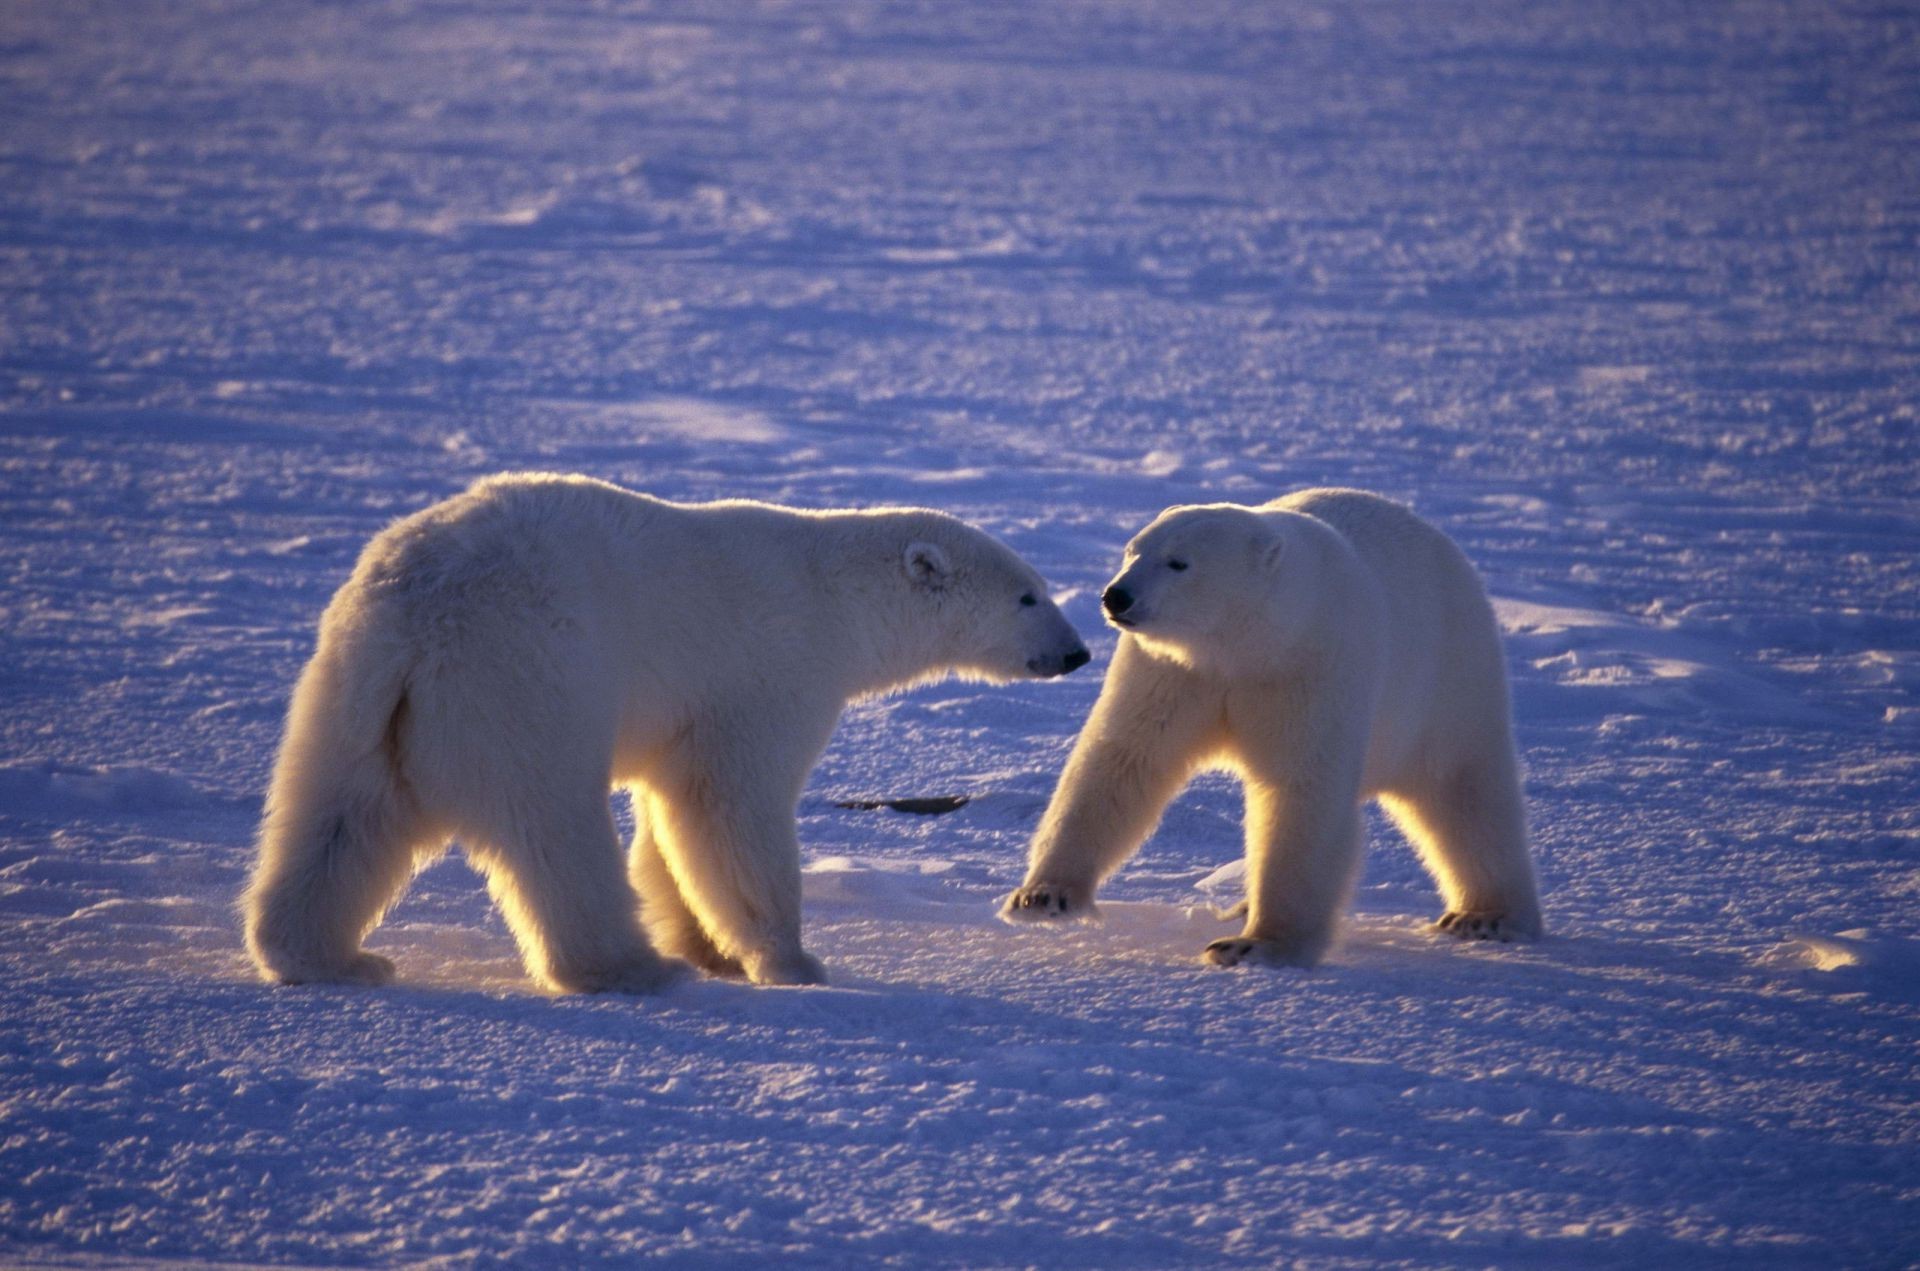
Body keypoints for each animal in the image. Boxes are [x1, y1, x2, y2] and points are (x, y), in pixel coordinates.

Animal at [241, 476, 1090, 998]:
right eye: (1028, 595)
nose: (1077, 652)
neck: (835, 595)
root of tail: (414, 609)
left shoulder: (687, 712)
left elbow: (670, 817)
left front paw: (708, 947)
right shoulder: (766, 673)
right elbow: (728, 808)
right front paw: (792, 960)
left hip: (361, 693)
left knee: (341, 816)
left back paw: (328, 954)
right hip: (524, 673)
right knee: (555, 825)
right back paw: (627, 966)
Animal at [998, 487, 1536, 967]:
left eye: (1179, 563)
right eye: (1133, 549)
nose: (1116, 596)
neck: (1249, 642)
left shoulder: (1311, 668)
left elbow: (1300, 790)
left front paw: (1254, 946)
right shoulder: (1176, 672)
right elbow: (1125, 759)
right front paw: (1044, 896)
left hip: (1449, 679)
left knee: (1465, 793)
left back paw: (1486, 915)